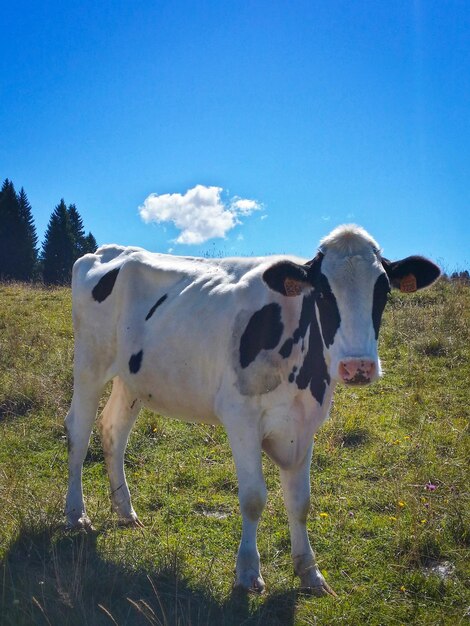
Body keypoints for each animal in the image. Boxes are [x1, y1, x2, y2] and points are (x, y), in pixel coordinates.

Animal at [65, 224, 440, 596]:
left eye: (383, 290)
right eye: (322, 293)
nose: (358, 366)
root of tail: (107, 250)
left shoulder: (305, 423)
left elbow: (300, 501)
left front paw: (310, 572)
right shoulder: (240, 418)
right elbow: (253, 497)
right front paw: (248, 571)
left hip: (132, 380)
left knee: (113, 433)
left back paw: (125, 512)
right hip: (89, 364)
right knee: (78, 433)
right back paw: (76, 515)